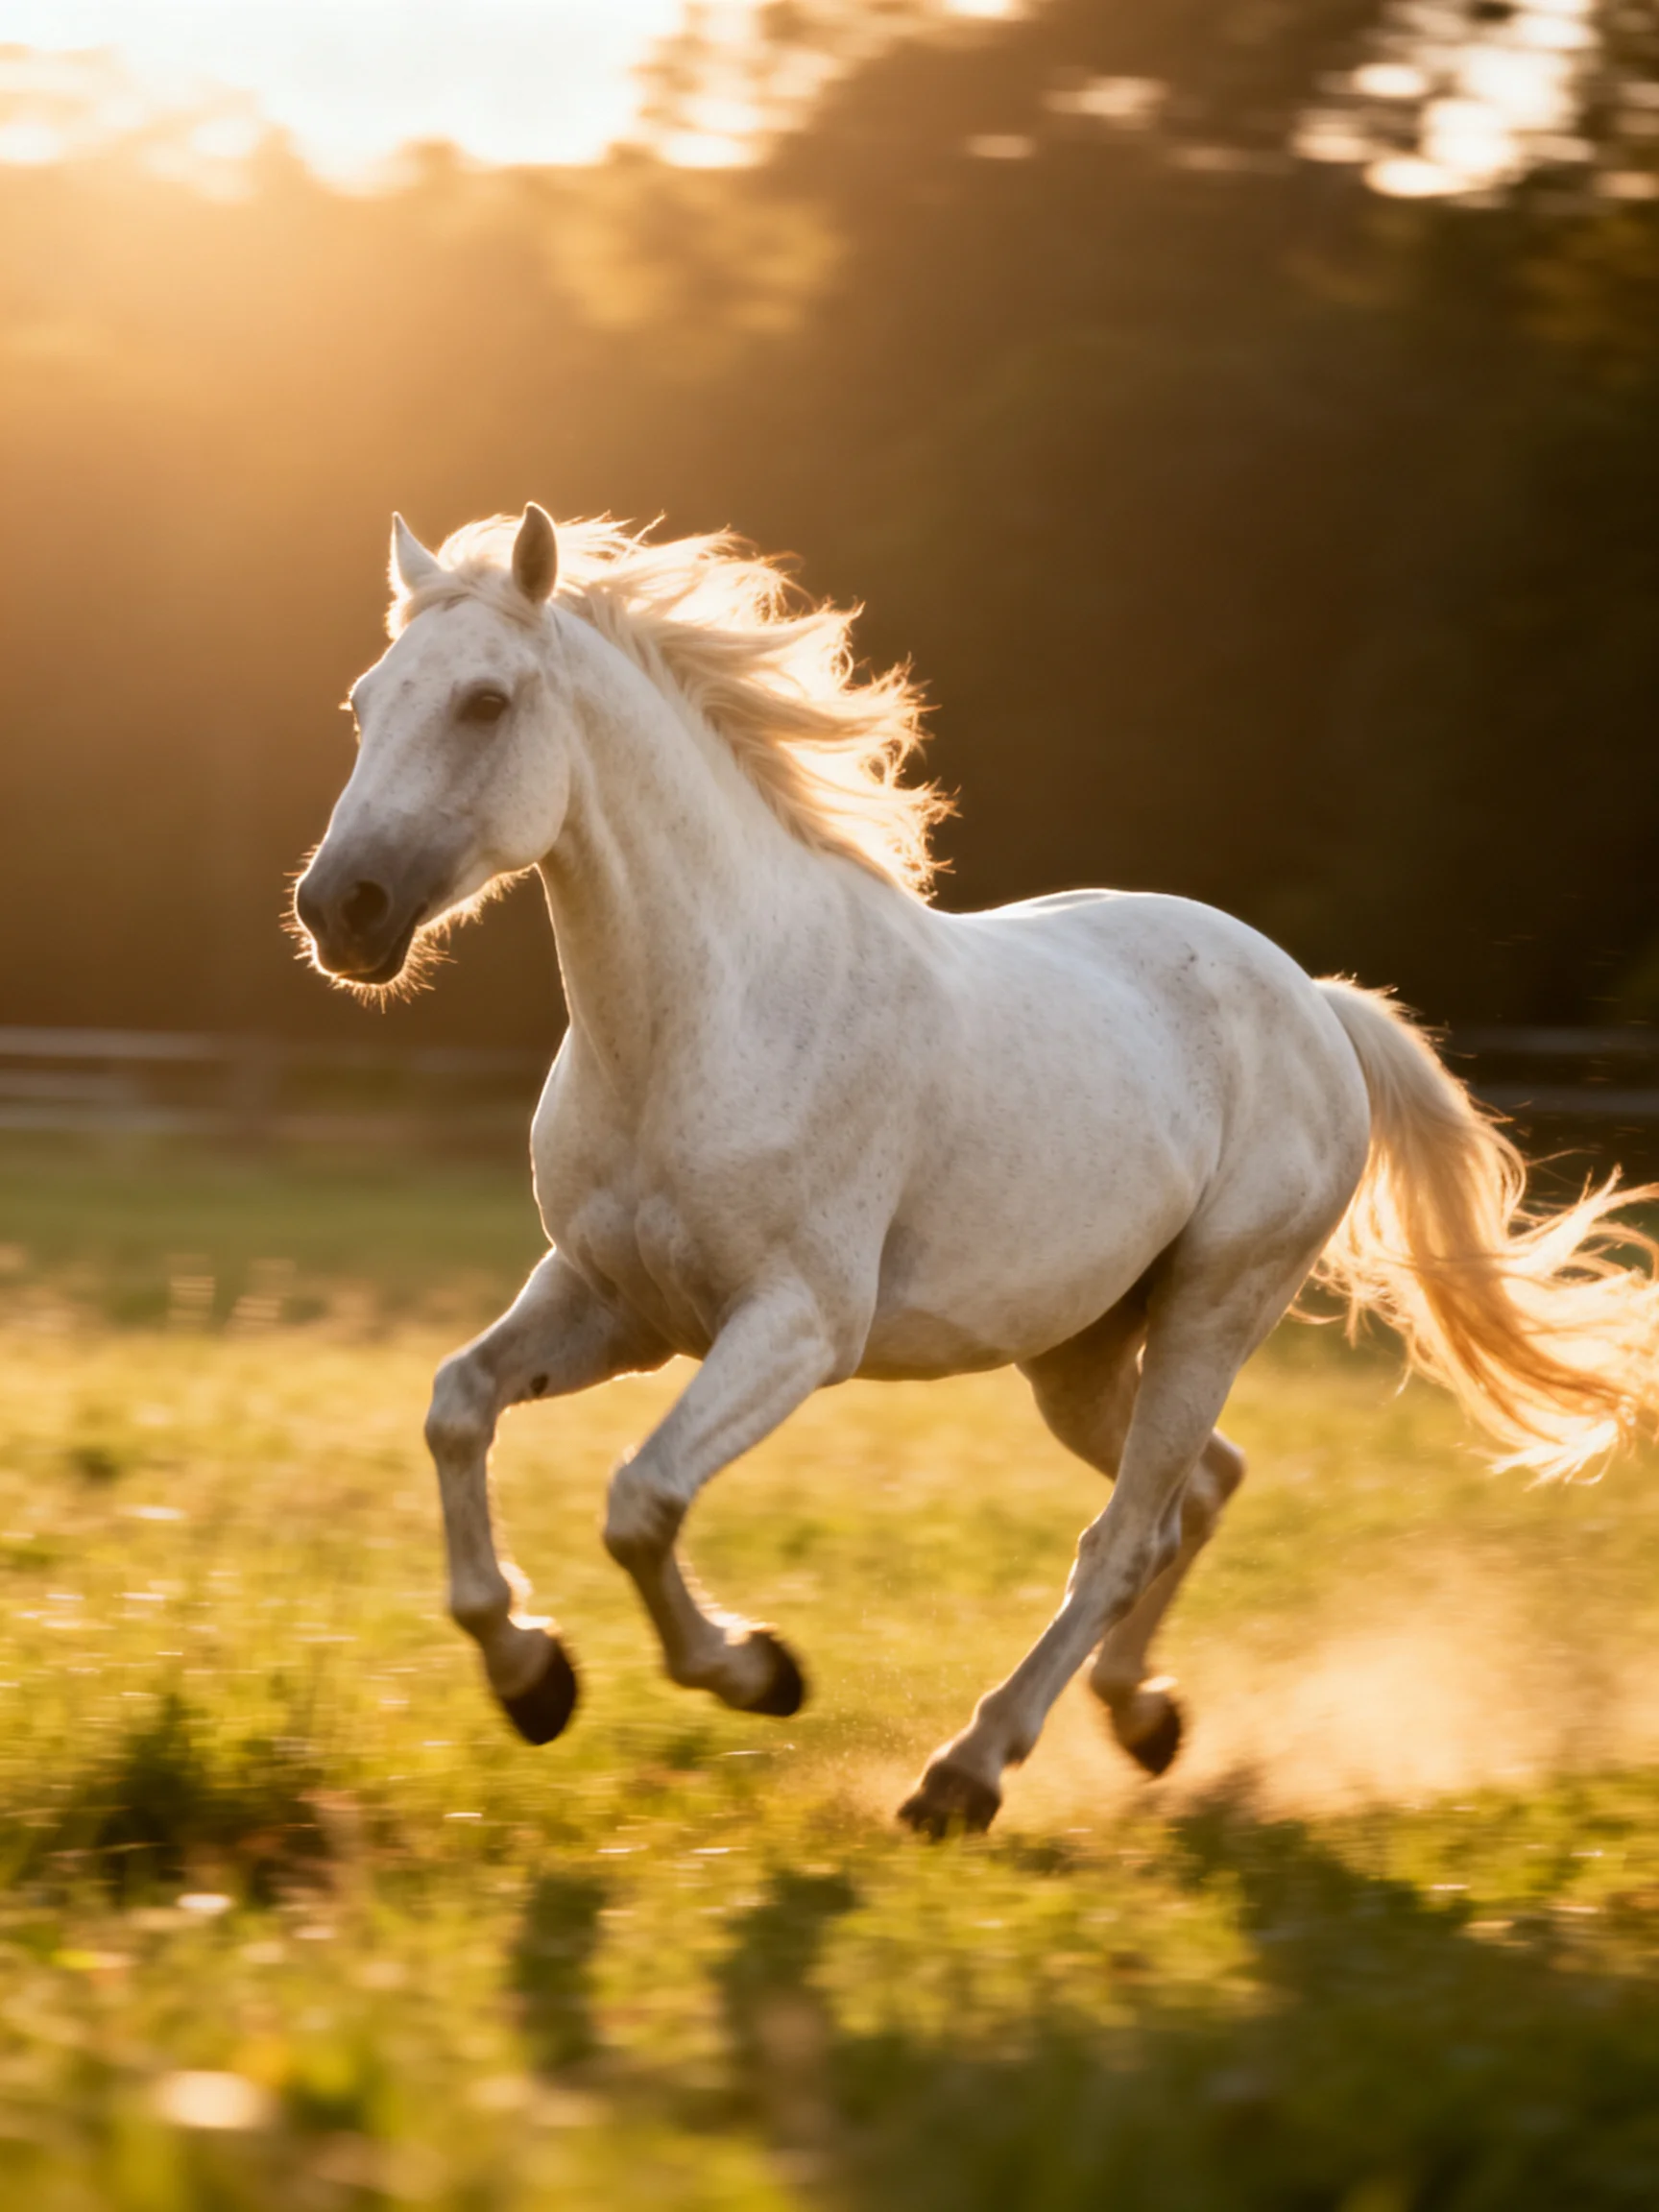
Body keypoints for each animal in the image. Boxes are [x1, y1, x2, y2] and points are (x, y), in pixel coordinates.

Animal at [293, 503, 1659, 1836]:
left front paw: (756, 1671)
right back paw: (1141, 1717)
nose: (339, 910)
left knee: (1123, 1535)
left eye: (484, 702)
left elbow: (641, 1500)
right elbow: (458, 1406)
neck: (702, 1023)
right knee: (1195, 1492)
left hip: (1218, 1306)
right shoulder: (613, 1303)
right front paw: (532, 1678)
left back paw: (967, 1776)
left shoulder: (796, 1326)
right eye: (361, 703)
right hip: (1082, 1353)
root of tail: (1315, 1001)